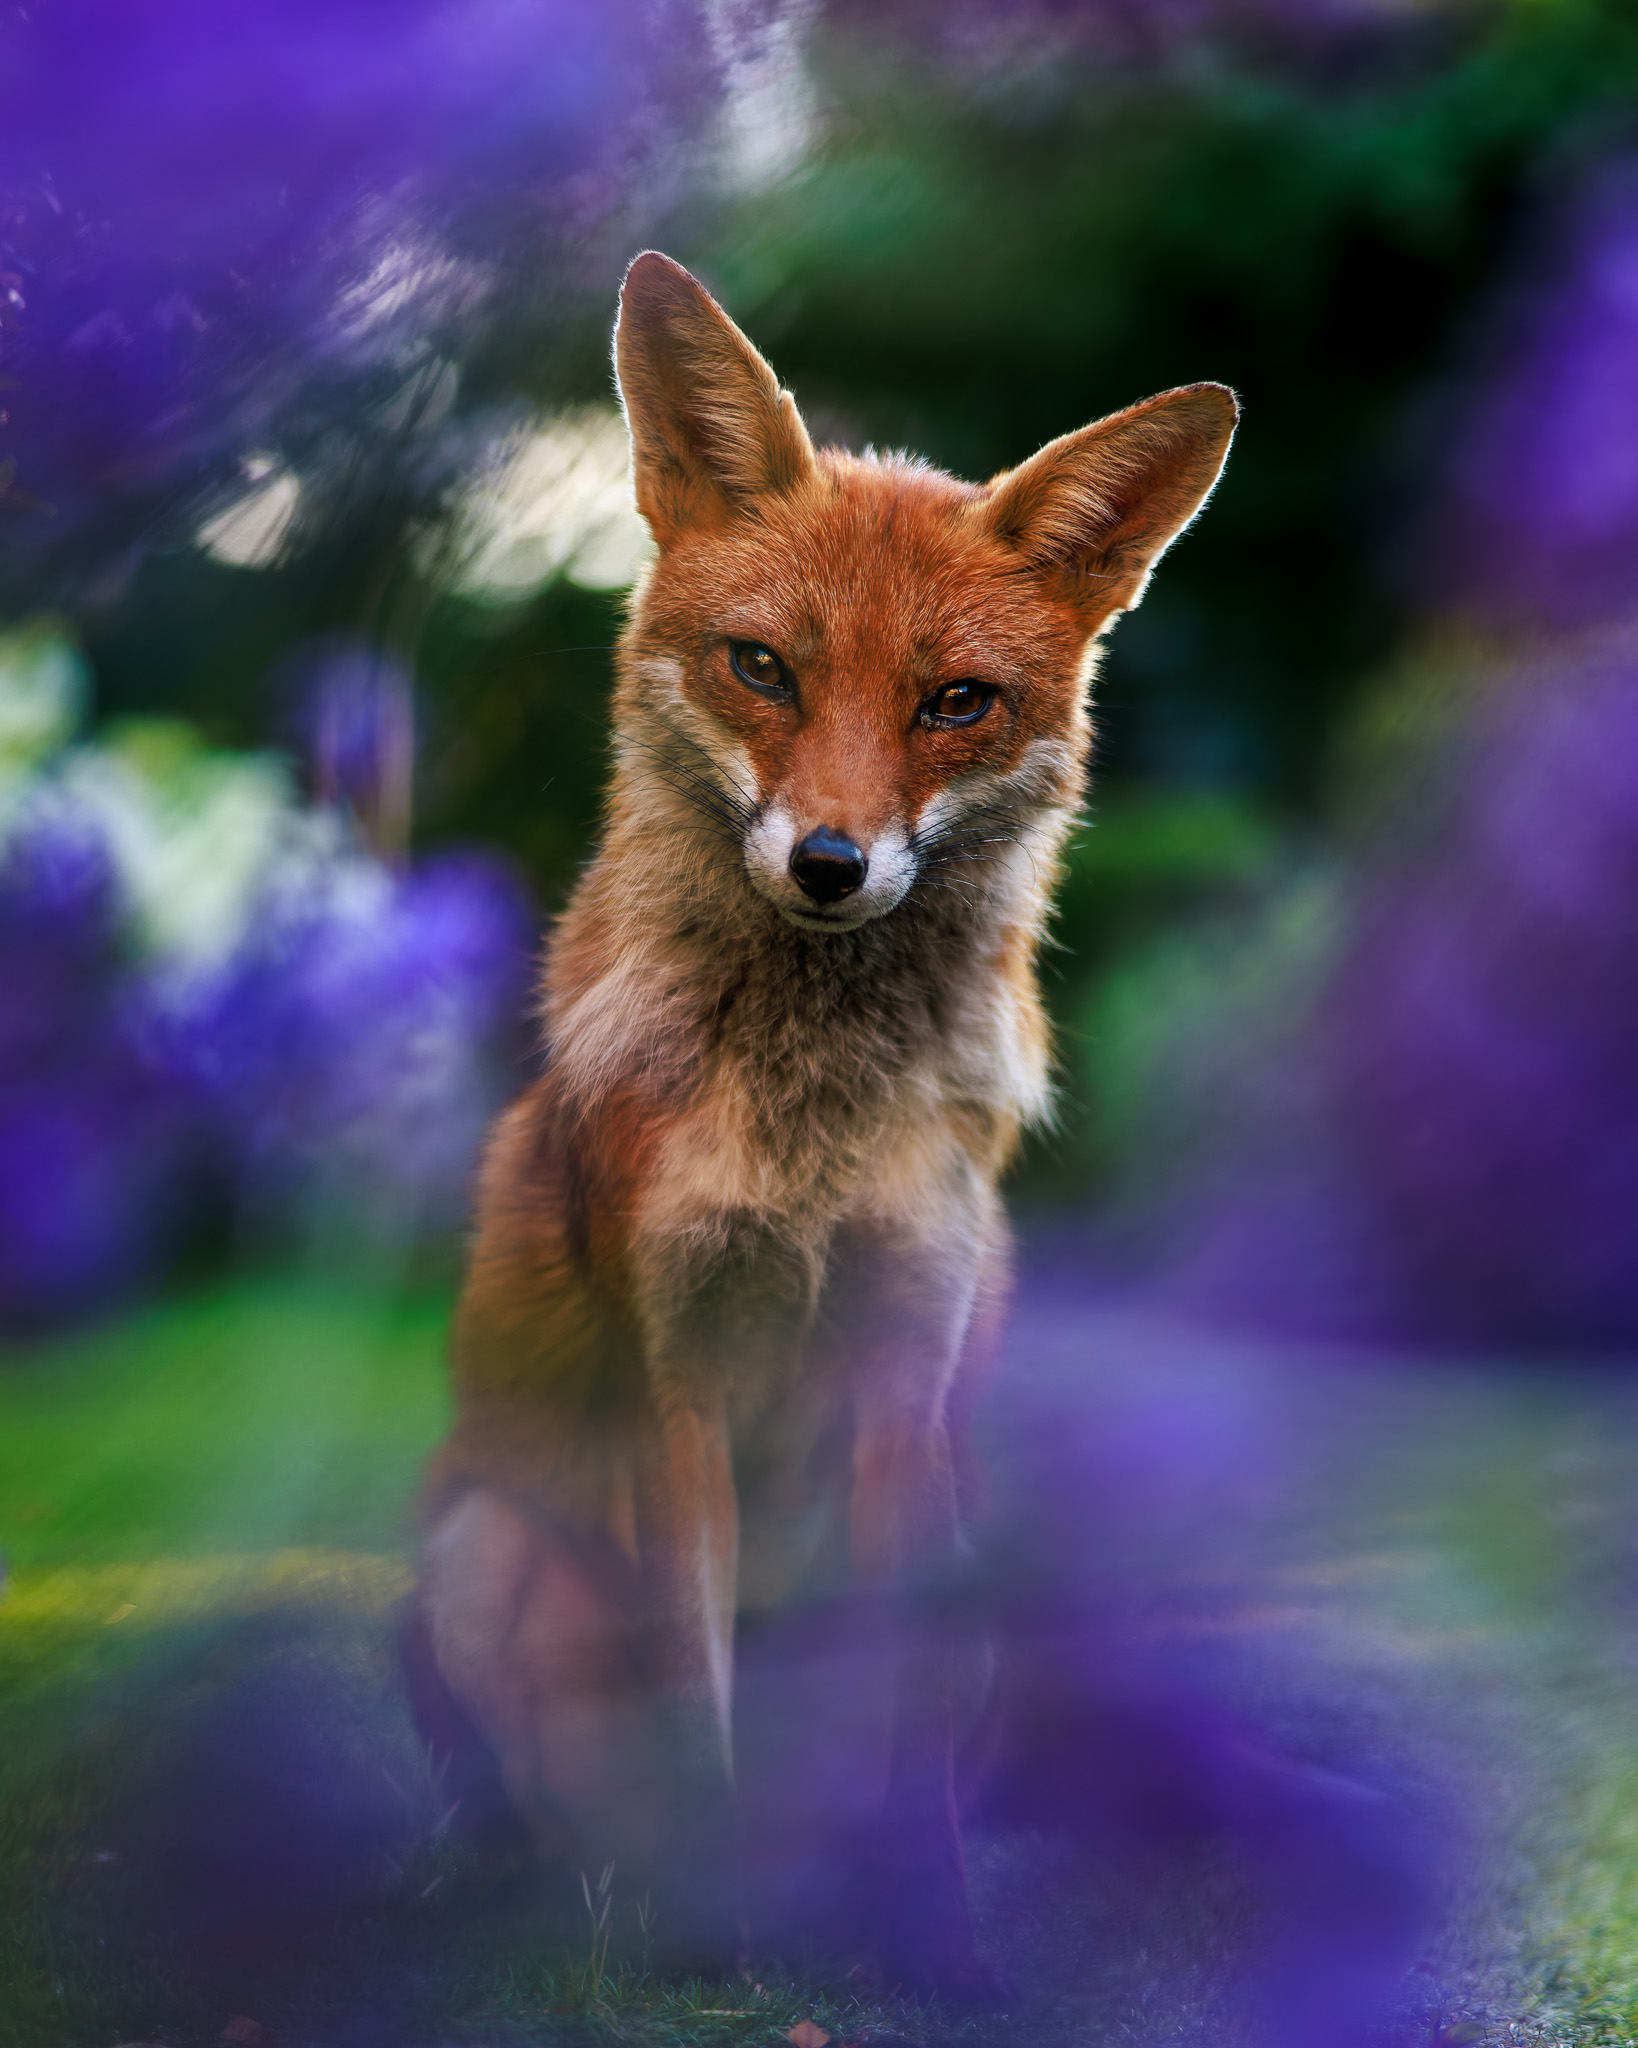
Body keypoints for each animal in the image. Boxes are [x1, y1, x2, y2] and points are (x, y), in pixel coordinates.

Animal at [408, 250, 1236, 1987]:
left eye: (954, 702)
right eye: (763, 667)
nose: (831, 866)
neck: (807, 1134)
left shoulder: (900, 1376)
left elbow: (888, 1700)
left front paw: (931, 1926)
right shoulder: (675, 1391)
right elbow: (698, 1693)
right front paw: (719, 1943)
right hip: (469, 1555)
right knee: (526, 1807)